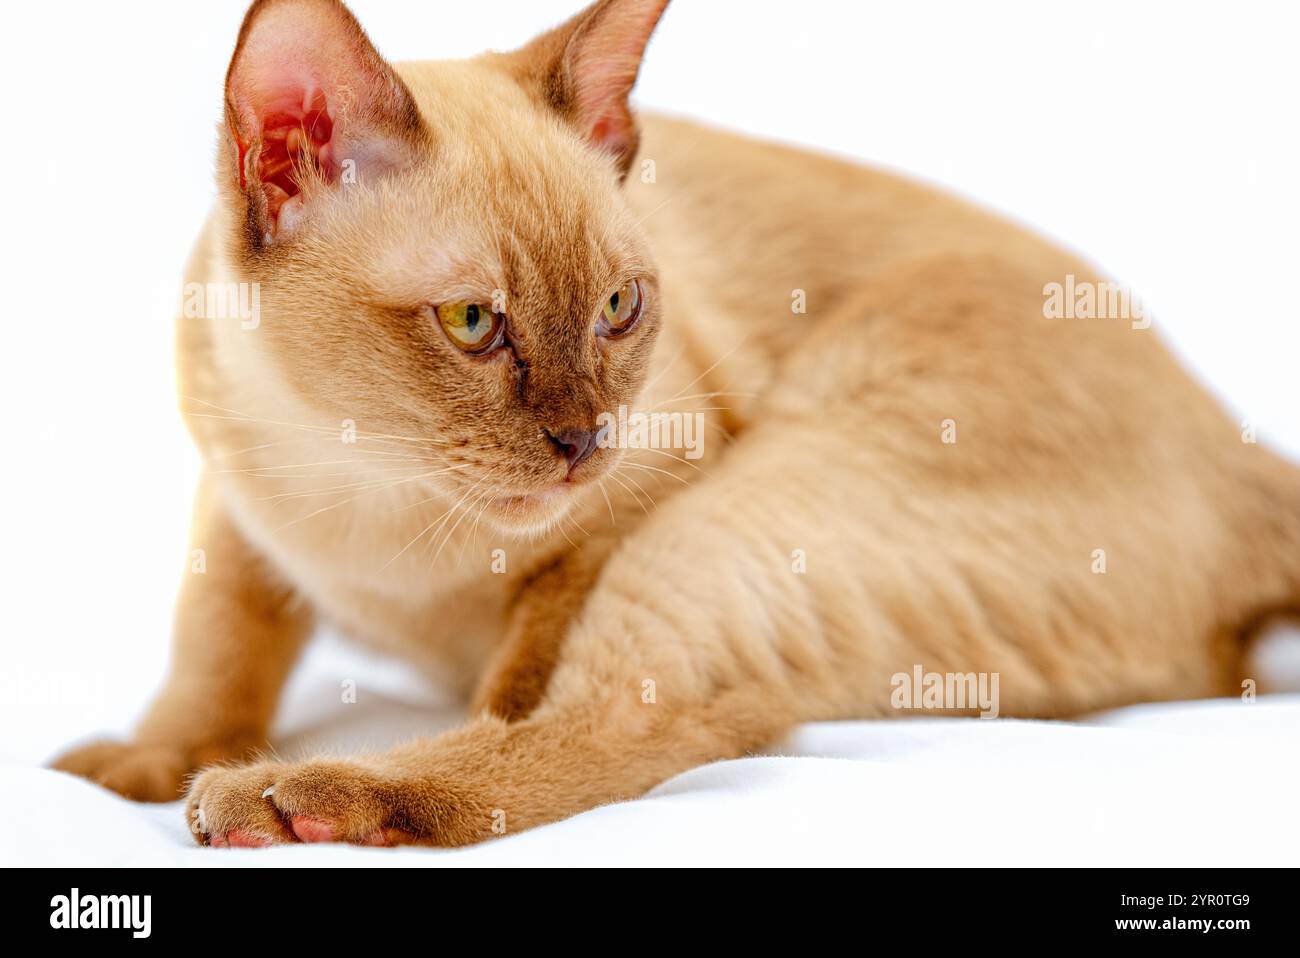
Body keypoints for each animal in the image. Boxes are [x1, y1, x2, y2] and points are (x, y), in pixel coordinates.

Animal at [53, 0, 1300, 847]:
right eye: (473, 323)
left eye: (617, 308)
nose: (581, 444)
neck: (366, 491)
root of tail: (1240, 440)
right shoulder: (236, 508)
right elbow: (216, 645)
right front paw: (145, 760)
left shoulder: (626, 512)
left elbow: (521, 689)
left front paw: (206, 771)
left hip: (752, 503)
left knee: (645, 726)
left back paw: (284, 798)